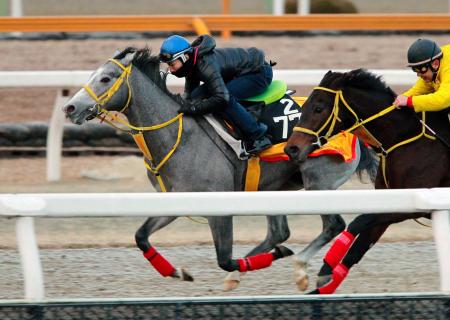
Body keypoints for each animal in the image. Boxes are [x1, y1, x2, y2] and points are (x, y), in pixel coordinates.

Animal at [61, 48, 378, 292]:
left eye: (105, 78)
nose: (70, 108)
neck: (179, 134)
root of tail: (355, 130)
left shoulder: (219, 204)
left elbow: (224, 258)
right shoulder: (177, 200)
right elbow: (141, 237)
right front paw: (177, 272)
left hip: (318, 181)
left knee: (333, 224)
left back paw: (300, 268)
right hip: (276, 188)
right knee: (280, 232)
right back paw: (248, 271)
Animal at [284, 69, 450, 294]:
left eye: (318, 108)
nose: (291, 149)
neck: (403, 140)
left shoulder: (414, 204)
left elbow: (358, 221)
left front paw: (326, 266)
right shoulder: (389, 201)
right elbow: (356, 251)